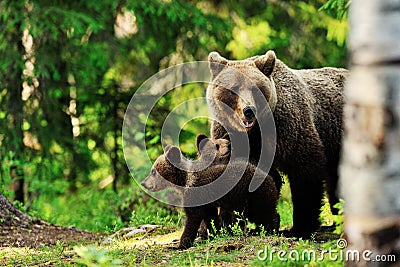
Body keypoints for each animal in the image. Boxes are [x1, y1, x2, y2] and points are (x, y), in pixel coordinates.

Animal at [142, 144, 280, 249]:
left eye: (153, 171)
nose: (144, 183)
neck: (184, 180)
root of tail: (270, 179)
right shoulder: (207, 200)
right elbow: (210, 217)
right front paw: (213, 234)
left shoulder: (195, 192)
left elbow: (193, 217)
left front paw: (180, 244)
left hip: (253, 196)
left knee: (264, 212)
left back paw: (270, 229)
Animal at [208, 50, 348, 239]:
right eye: (234, 88)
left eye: (255, 88)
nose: (249, 111)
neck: (255, 130)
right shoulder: (231, 137)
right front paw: (230, 224)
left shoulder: (288, 128)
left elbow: (305, 171)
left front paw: (299, 228)